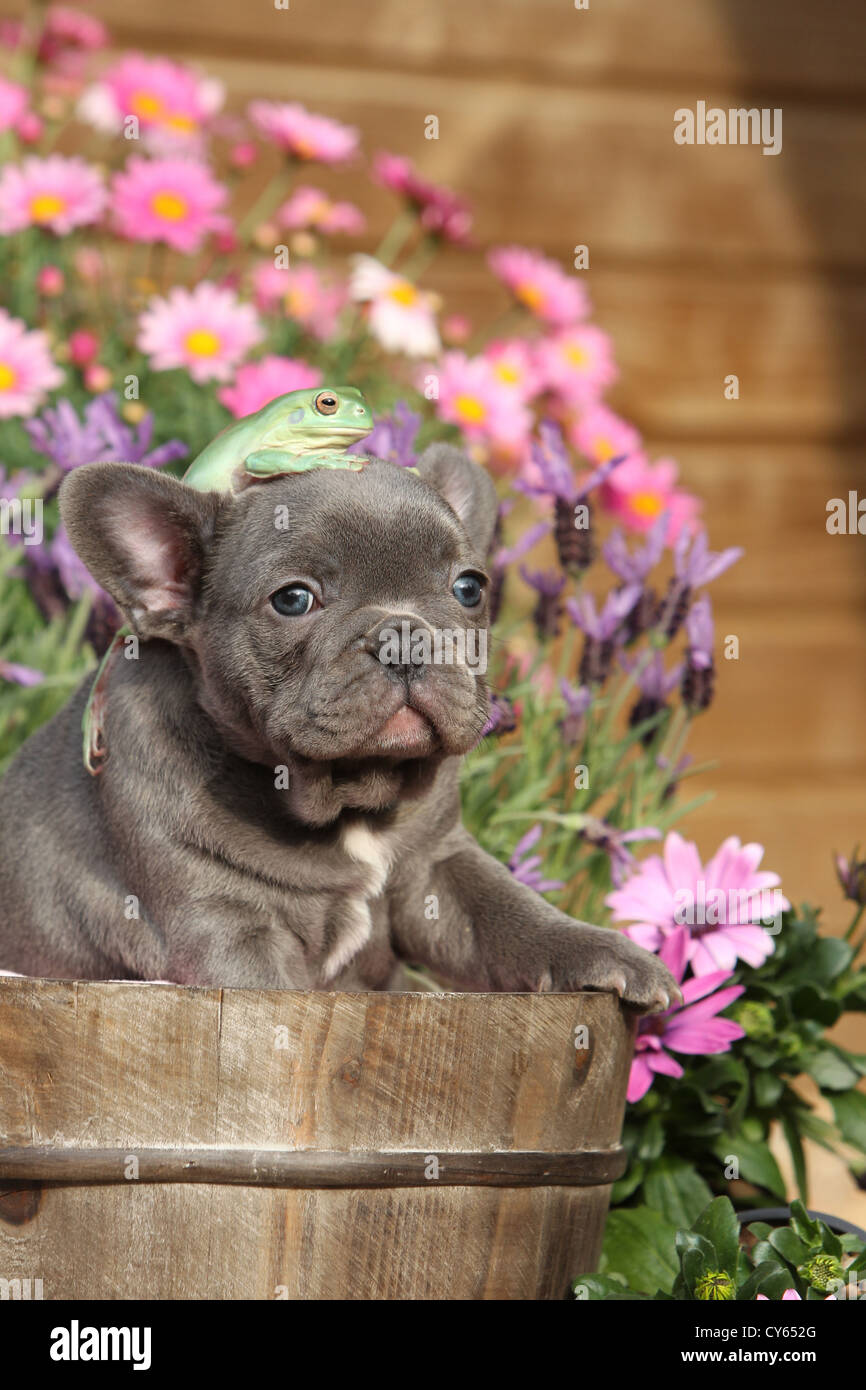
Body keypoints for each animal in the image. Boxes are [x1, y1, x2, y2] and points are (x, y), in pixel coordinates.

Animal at [0, 447, 678, 1011]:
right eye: (293, 599)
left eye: (469, 588)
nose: (403, 636)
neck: (351, 801)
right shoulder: (223, 925)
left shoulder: (437, 866)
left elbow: (506, 907)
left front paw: (599, 951)